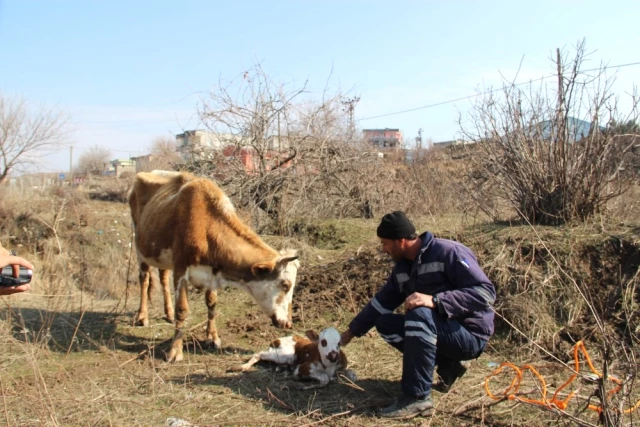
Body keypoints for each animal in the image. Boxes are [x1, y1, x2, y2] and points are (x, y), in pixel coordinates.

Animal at [130, 171, 302, 364]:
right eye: (285, 285)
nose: (288, 323)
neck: (207, 228)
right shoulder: (181, 268)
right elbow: (182, 310)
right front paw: (175, 351)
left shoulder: (212, 273)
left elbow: (212, 303)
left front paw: (212, 337)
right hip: (138, 245)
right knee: (144, 279)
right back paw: (142, 316)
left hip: (161, 255)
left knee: (163, 277)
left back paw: (168, 313)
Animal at [231, 328, 360, 392]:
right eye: (323, 342)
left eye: (339, 343)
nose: (333, 355)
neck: (329, 366)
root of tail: (277, 339)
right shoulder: (302, 367)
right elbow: (324, 379)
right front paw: (300, 384)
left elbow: (353, 375)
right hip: (283, 354)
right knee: (258, 354)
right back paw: (241, 367)